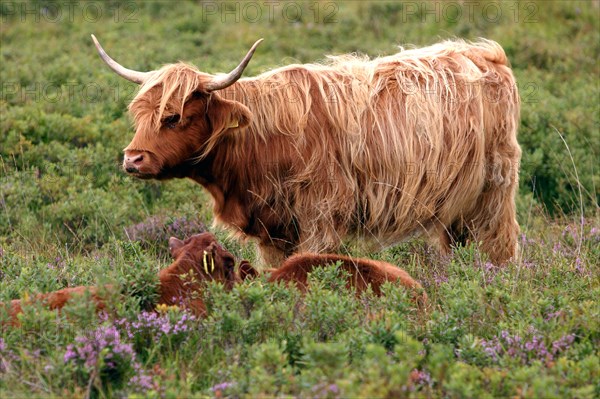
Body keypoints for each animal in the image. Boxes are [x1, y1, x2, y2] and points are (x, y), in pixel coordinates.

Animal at [92, 36, 520, 266]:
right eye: (139, 114)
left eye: (174, 117)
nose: (132, 159)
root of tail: (484, 55)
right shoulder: (272, 231)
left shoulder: (321, 219)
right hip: (456, 206)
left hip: (493, 194)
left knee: (499, 245)